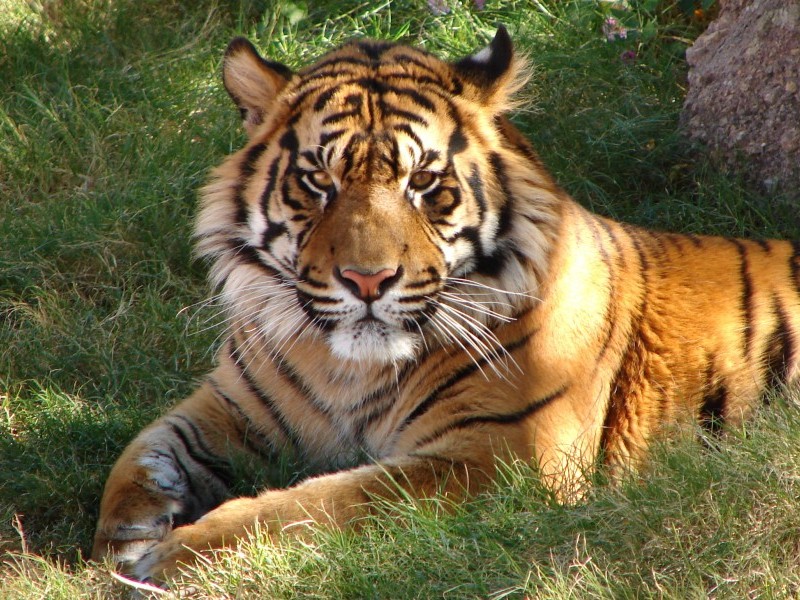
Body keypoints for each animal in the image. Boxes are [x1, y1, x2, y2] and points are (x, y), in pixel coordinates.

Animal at [92, 27, 800, 580]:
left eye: (423, 181)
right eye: (319, 181)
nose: (368, 279)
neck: (346, 368)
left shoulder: (504, 454)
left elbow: (326, 501)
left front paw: (178, 554)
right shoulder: (231, 402)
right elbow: (141, 454)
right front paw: (125, 536)